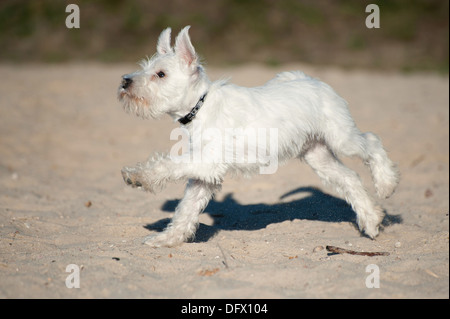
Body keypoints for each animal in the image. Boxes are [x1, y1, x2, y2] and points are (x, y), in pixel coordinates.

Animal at [118, 26, 400, 248]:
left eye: (161, 74)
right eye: (145, 68)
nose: (125, 81)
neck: (202, 105)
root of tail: (311, 80)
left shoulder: (206, 162)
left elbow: (167, 164)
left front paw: (138, 176)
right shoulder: (204, 175)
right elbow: (186, 209)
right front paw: (167, 239)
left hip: (342, 138)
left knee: (372, 142)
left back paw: (386, 185)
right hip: (318, 155)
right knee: (350, 178)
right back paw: (371, 220)